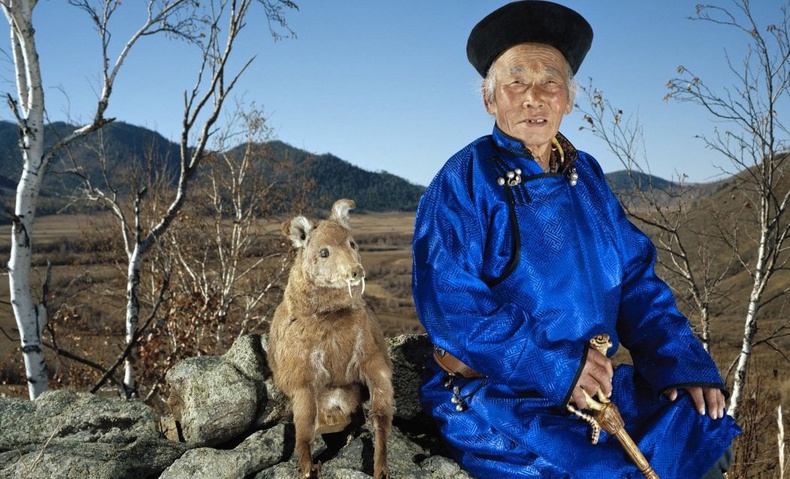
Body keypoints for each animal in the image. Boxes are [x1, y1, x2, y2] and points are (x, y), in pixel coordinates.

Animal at [268, 200, 394, 479]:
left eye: (352, 243)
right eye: (323, 252)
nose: (356, 272)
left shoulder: (373, 363)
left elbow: (381, 417)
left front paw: (380, 469)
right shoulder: (303, 379)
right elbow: (304, 429)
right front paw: (309, 468)